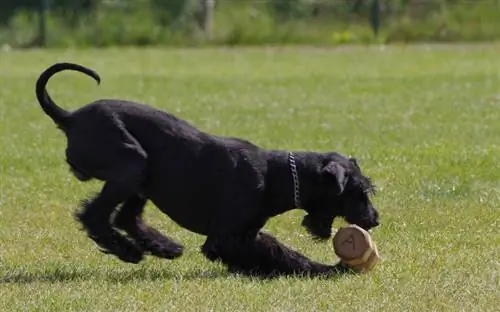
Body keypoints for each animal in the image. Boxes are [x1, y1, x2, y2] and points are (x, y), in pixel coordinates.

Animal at [35, 62, 378, 276]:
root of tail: (71, 118)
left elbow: (276, 250)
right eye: (359, 192)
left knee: (125, 216)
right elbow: (279, 254)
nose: (374, 219)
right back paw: (128, 251)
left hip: (142, 177)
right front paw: (327, 270)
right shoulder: (225, 238)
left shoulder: (247, 233)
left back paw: (164, 247)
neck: (276, 176)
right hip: (132, 164)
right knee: (94, 215)